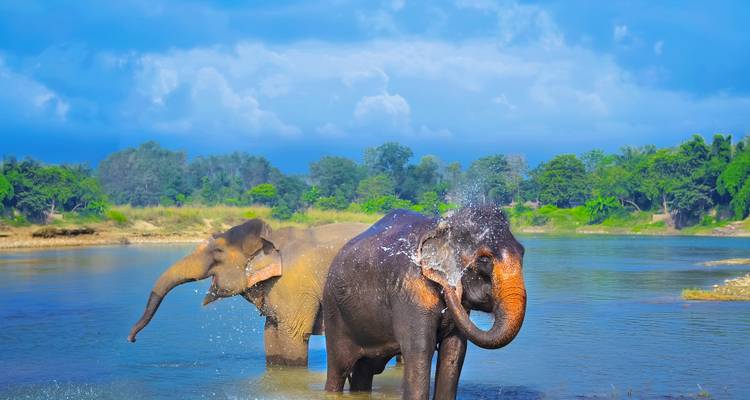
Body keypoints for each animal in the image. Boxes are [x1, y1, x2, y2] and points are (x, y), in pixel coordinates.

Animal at [128, 219, 369, 367]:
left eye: (218, 251)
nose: (132, 340)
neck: (271, 239)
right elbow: (270, 332)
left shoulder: (295, 284)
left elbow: (293, 334)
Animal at [323, 206, 526, 399]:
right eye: (484, 259)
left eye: (523, 253)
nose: (451, 287)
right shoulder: (411, 293)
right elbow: (420, 349)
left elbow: (454, 350)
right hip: (334, 314)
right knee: (339, 369)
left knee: (364, 370)